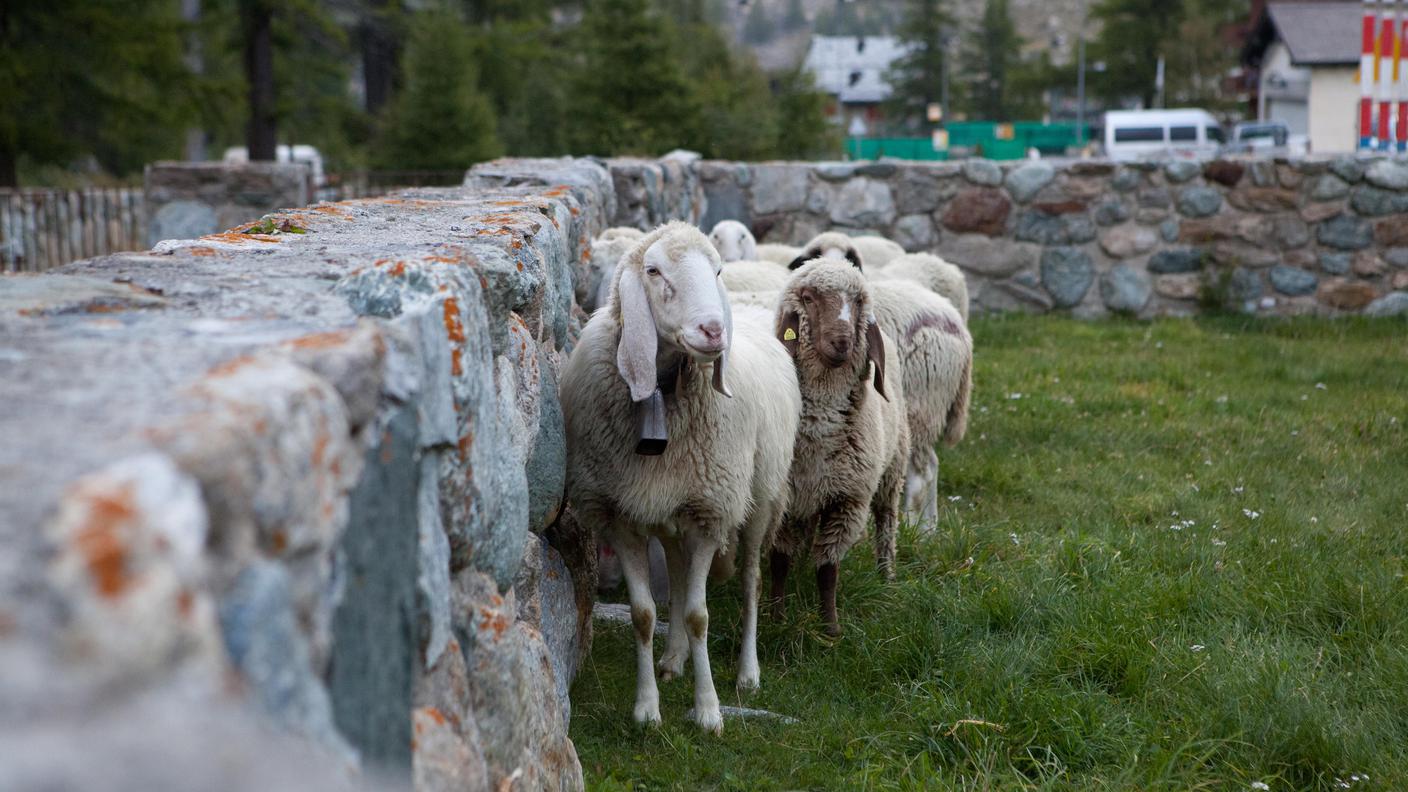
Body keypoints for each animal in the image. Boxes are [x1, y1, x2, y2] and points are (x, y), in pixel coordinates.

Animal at [563, 218, 805, 732]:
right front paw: (646, 709)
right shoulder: (622, 515)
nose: (714, 331)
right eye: (653, 271)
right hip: (671, 510)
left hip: (759, 498)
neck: (661, 389)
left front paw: (709, 710)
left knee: (751, 579)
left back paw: (747, 672)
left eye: (717, 270)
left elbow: (697, 615)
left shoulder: (711, 513)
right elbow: (644, 613)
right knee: (674, 575)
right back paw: (673, 660)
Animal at [765, 259, 906, 634]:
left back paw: (886, 575)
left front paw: (830, 629)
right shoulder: (786, 499)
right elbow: (779, 561)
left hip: (891, 471)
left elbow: (828, 569)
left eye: (857, 302)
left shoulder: (848, 501)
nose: (842, 341)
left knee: (886, 523)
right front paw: (777, 618)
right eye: (808, 298)